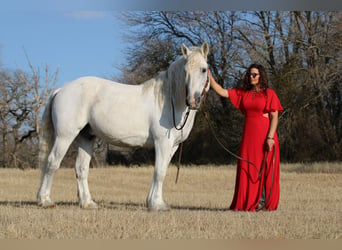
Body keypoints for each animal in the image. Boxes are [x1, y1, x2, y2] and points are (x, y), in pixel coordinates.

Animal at [36, 42, 208, 210]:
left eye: (204, 69)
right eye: (185, 70)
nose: (192, 101)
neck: (168, 100)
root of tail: (61, 90)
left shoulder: (173, 146)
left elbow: (161, 169)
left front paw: (153, 202)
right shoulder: (162, 142)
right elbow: (159, 171)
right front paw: (157, 204)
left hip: (86, 137)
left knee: (81, 168)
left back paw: (87, 203)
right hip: (65, 136)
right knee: (52, 162)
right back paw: (45, 200)